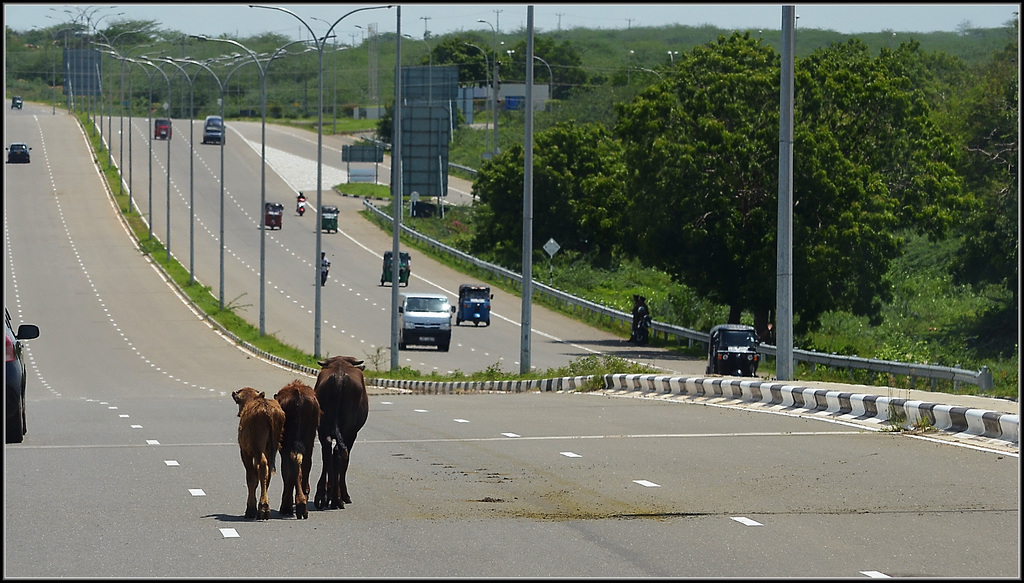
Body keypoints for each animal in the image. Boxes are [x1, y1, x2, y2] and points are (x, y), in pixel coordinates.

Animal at [229, 387, 284, 518]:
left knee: (263, 467)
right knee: (268, 470)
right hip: (272, 448)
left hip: (257, 448)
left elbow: (251, 477)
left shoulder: (245, 452)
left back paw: (263, 508)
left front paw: (250, 509)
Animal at [272, 381, 319, 518]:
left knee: (293, 466)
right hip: (307, 440)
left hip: (288, 443)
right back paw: (301, 503)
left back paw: (293, 505)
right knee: (301, 464)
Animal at [317, 354, 374, 508]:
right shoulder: (353, 434)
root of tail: (339, 376)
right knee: (339, 452)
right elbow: (345, 461)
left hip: (323, 427)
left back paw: (322, 495)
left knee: (327, 451)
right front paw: (343, 495)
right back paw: (338, 498)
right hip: (347, 429)